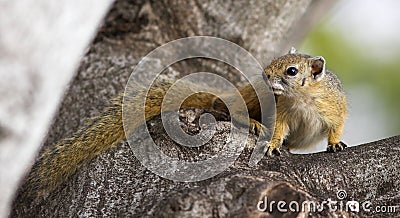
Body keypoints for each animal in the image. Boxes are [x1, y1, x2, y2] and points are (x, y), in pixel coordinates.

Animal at [18, 48, 346, 198]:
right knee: (219, 105)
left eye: (291, 70)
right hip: (253, 97)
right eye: (273, 62)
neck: (302, 98)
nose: (266, 75)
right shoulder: (281, 111)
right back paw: (249, 121)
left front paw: (335, 143)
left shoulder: (335, 108)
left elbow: (336, 127)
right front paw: (274, 144)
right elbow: (278, 128)